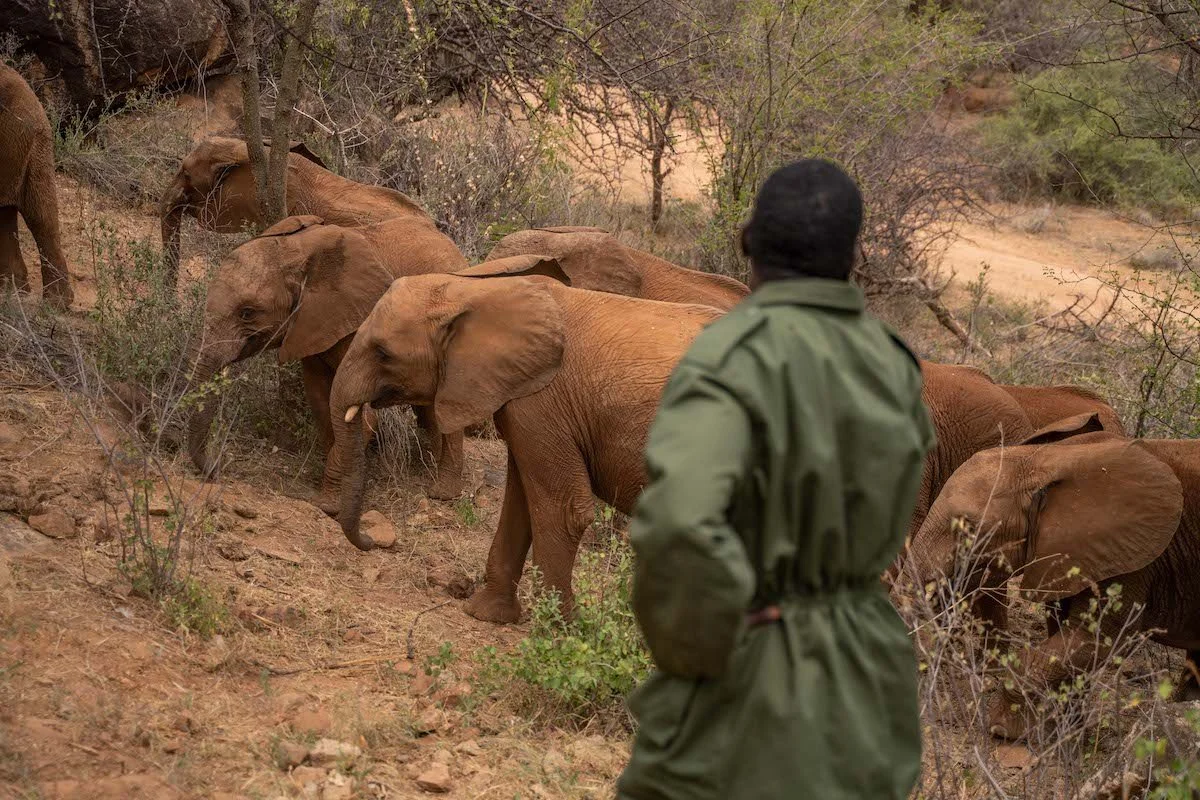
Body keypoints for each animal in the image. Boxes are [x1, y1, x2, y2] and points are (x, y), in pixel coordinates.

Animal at [186, 213, 470, 499]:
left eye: (247, 312)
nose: (217, 470)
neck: (295, 254)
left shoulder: (356, 321)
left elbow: (358, 415)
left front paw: (329, 500)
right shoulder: (310, 325)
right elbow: (322, 403)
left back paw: (442, 492)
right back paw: (430, 468)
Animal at [325, 258, 722, 622]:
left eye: (383, 353)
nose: (372, 542)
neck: (476, 290)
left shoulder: (543, 402)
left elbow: (563, 508)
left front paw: (554, 630)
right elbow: (520, 502)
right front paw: (487, 614)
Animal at [911, 412, 1198, 740]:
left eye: (969, 527)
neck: (1046, 460)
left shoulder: (1132, 554)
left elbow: (1094, 638)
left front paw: (1004, 729)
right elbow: (1063, 630)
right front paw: (1064, 730)